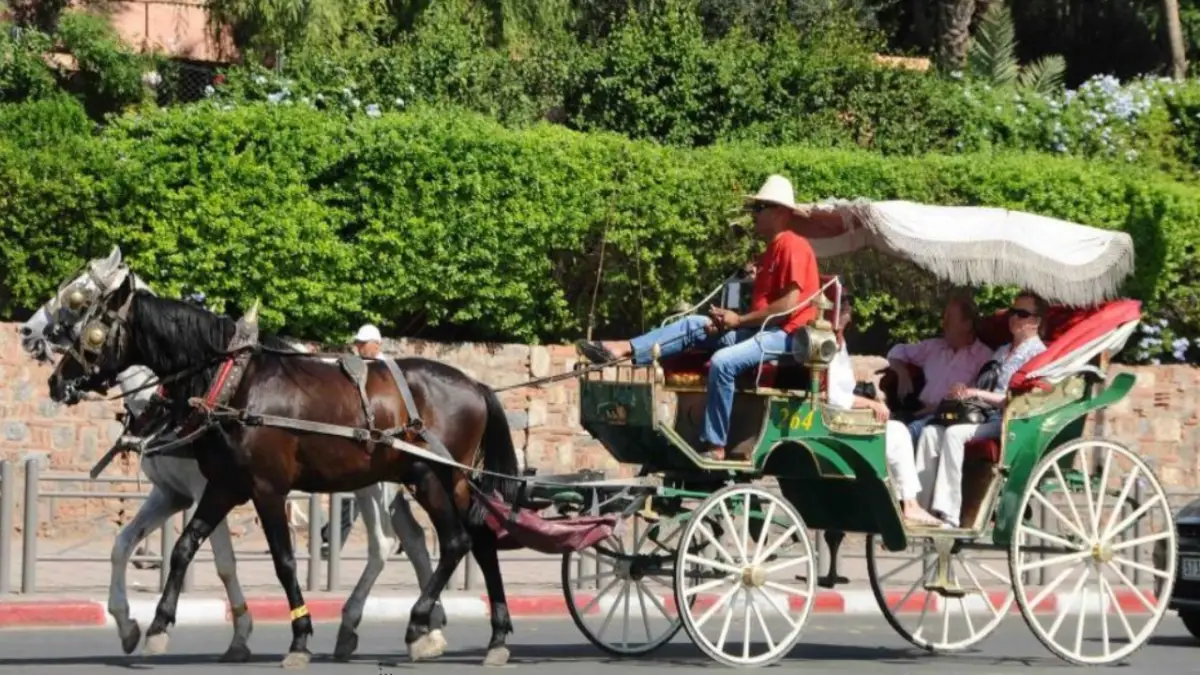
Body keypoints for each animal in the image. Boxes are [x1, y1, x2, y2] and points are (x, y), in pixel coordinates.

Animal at [45, 270, 522, 668]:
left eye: (92, 329)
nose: (56, 380)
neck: (234, 383)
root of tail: (474, 384)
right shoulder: (221, 486)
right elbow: (183, 547)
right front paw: (158, 627)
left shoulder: (265, 488)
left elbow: (284, 561)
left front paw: (299, 638)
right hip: (435, 479)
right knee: (472, 540)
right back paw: (487, 635)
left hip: (431, 477)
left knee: (451, 541)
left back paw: (419, 622)